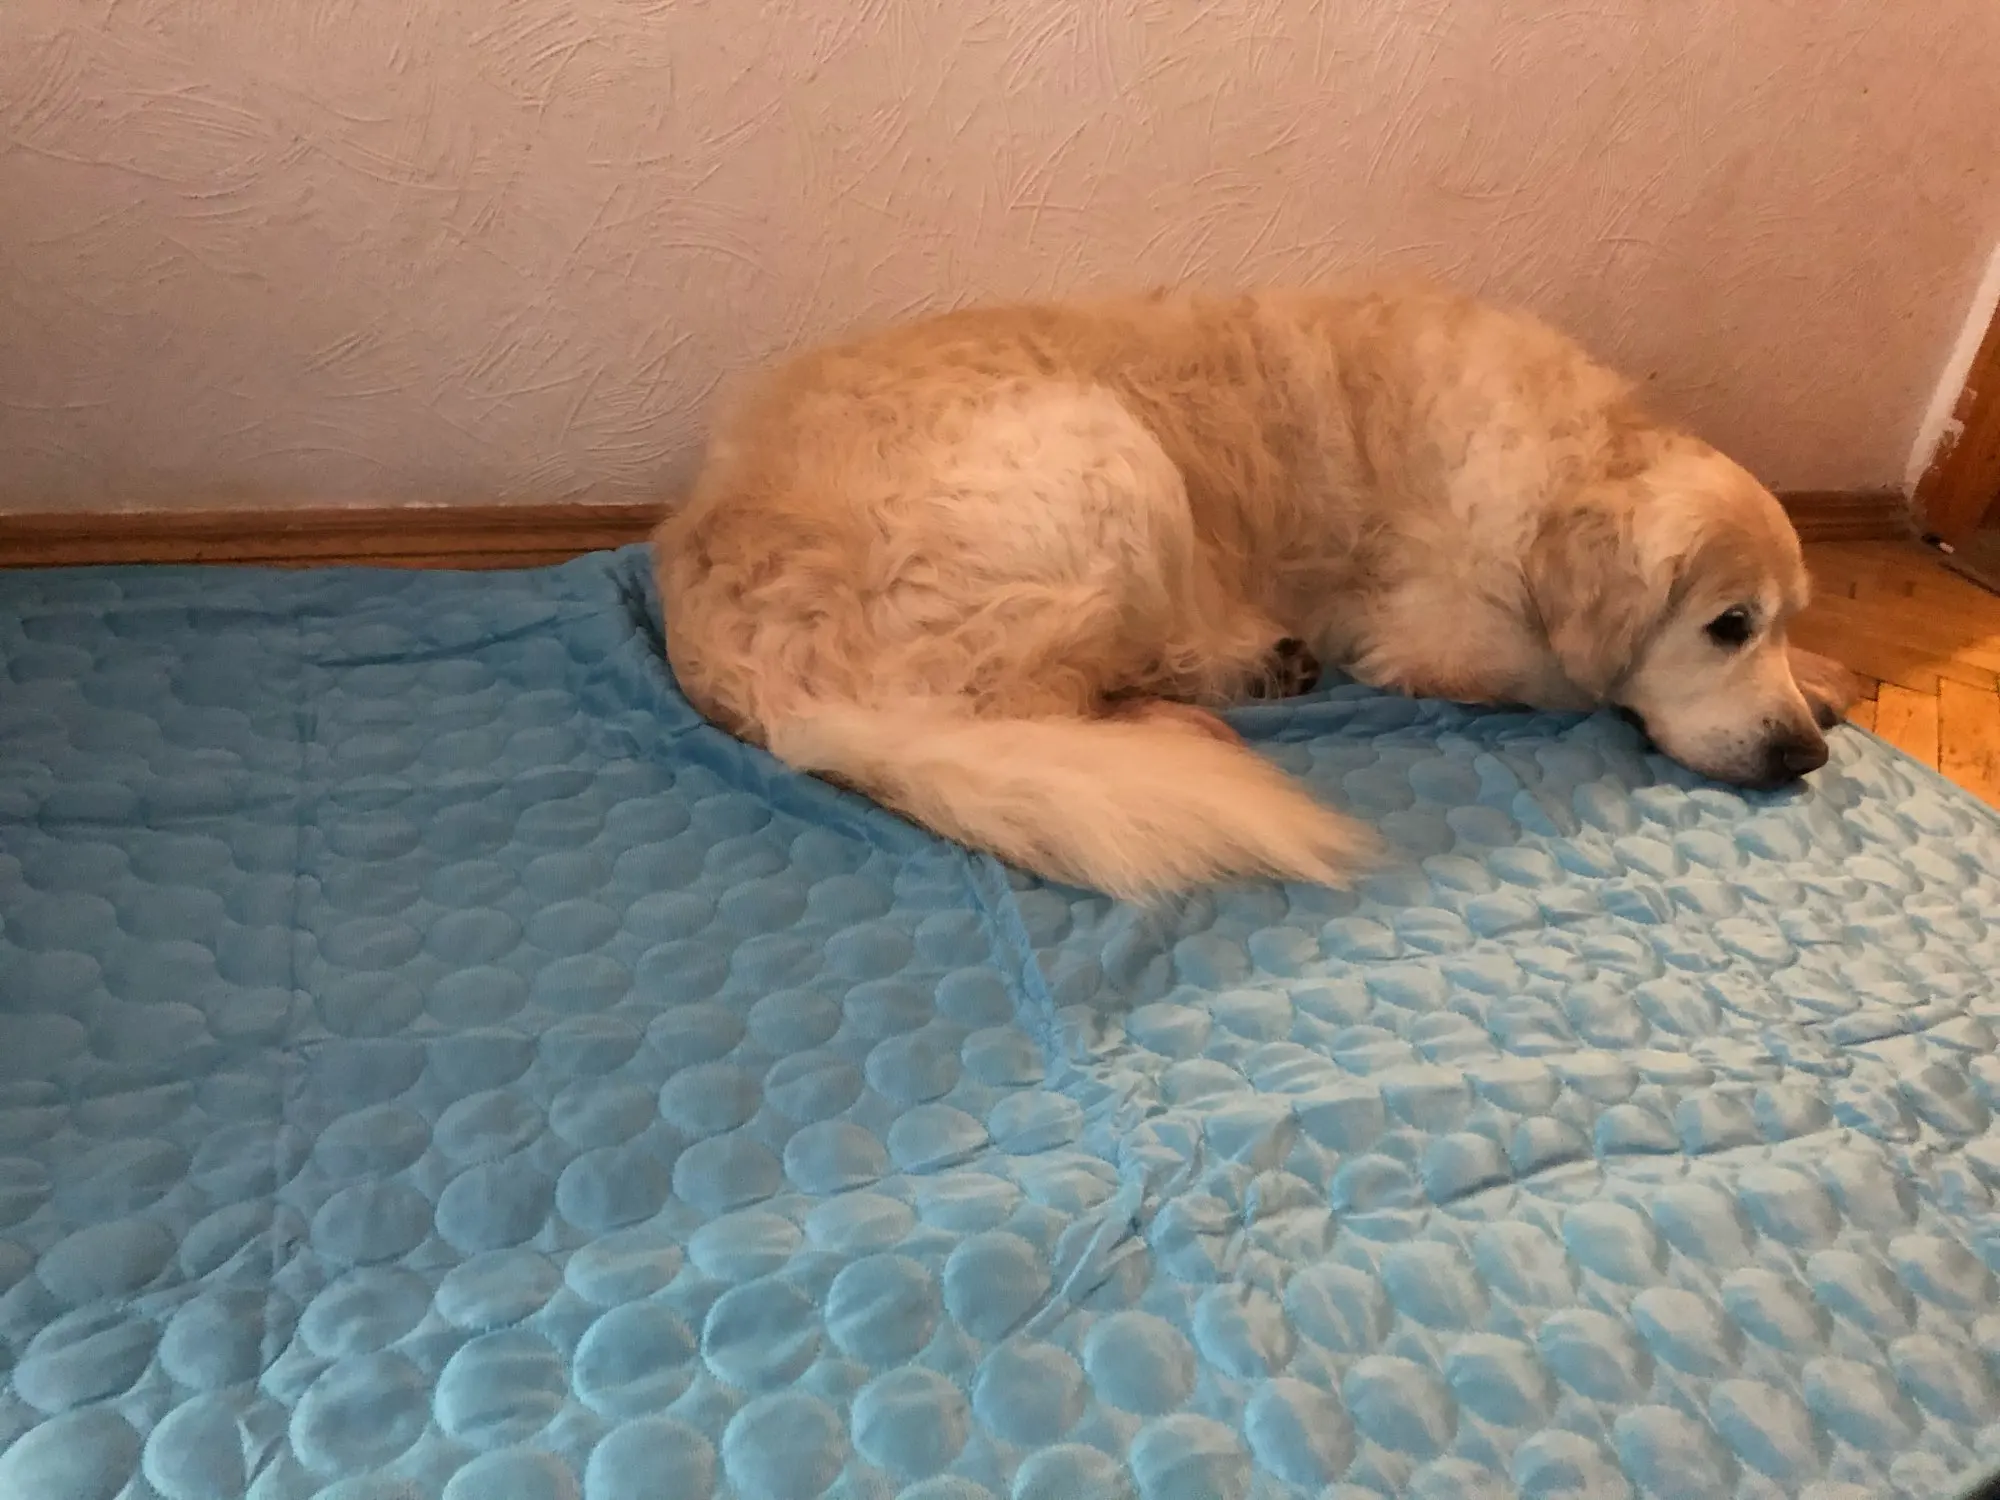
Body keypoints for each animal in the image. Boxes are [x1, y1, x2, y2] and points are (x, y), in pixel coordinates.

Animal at [655, 281, 1861, 900]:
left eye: (1772, 619)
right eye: (1724, 626)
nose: (1803, 756)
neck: (1573, 453)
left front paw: (1826, 673)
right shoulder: (1438, 636)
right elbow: (1577, 678)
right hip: (1105, 461)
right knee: (1021, 708)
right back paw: (1187, 721)